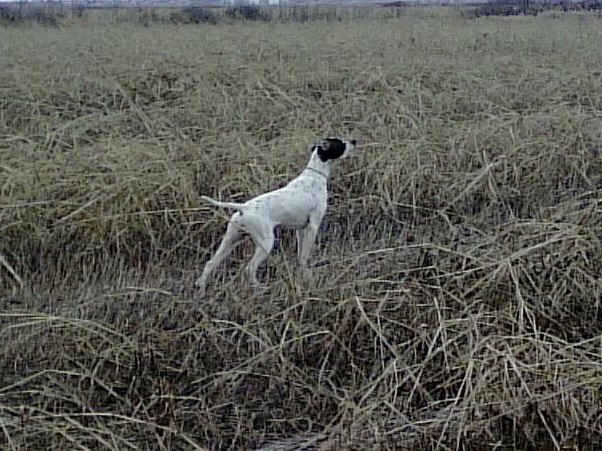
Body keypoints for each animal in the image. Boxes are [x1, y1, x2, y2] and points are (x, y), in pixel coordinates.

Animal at [196, 138, 356, 294]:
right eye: (340, 143)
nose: (354, 141)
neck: (315, 175)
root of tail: (244, 208)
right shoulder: (313, 226)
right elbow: (305, 256)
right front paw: (307, 276)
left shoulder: (301, 229)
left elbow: (300, 255)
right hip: (266, 243)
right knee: (249, 269)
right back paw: (260, 289)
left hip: (231, 240)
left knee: (210, 263)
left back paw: (201, 288)